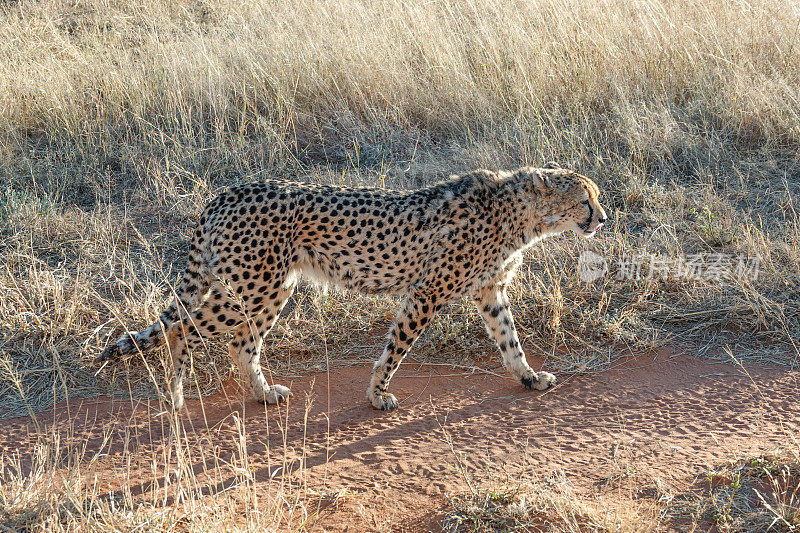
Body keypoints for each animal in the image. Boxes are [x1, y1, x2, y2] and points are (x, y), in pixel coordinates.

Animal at [98, 162, 608, 412]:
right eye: (585, 199)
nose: (603, 218)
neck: (519, 215)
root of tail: (227, 191)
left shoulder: (490, 292)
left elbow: (510, 340)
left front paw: (528, 377)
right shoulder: (425, 293)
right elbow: (395, 349)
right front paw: (377, 395)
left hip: (271, 287)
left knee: (240, 343)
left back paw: (262, 394)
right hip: (251, 285)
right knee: (183, 327)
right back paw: (176, 396)